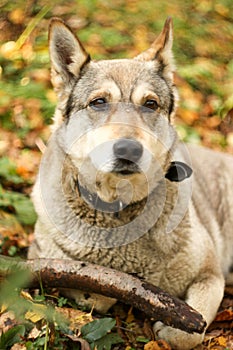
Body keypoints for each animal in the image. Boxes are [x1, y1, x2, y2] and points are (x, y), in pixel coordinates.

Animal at [27, 17, 233, 348]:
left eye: (150, 104)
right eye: (98, 102)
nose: (128, 150)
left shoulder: (210, 274)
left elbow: (193, 326)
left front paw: (173, 330)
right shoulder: (43, 259)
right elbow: (97, 294)